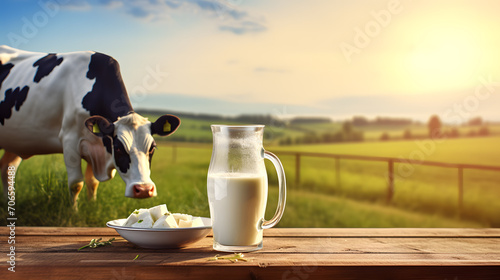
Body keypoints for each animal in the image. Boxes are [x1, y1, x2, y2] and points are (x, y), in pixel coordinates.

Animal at [0, 46, 180, 207]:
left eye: (152, 148)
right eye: (118, 147)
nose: (143, 189)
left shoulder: (95, 145)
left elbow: (92, 182)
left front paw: (91, 206)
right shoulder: (70, 141)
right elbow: (76, 184)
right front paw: (74, 213)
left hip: (17, 140)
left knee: (7, 168)